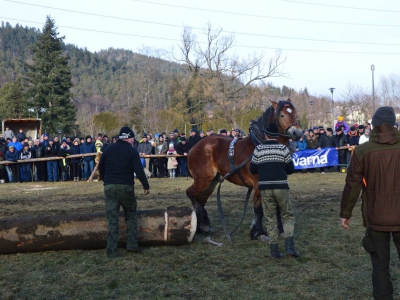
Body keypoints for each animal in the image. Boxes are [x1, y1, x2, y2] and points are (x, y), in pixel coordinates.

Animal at [188, 99, 304, 240]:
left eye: (295, 113)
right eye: (282, 115)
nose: (297, 133)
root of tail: (194, 147)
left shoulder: (277, 181)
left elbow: (277, 206)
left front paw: (280, 230)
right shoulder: (258, 184)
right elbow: (258, 208)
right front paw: (257, 232)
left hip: (212, 180)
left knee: (201, 198)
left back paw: (203, 225)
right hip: (203, 178)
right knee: (192, 194)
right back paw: (201, 225)